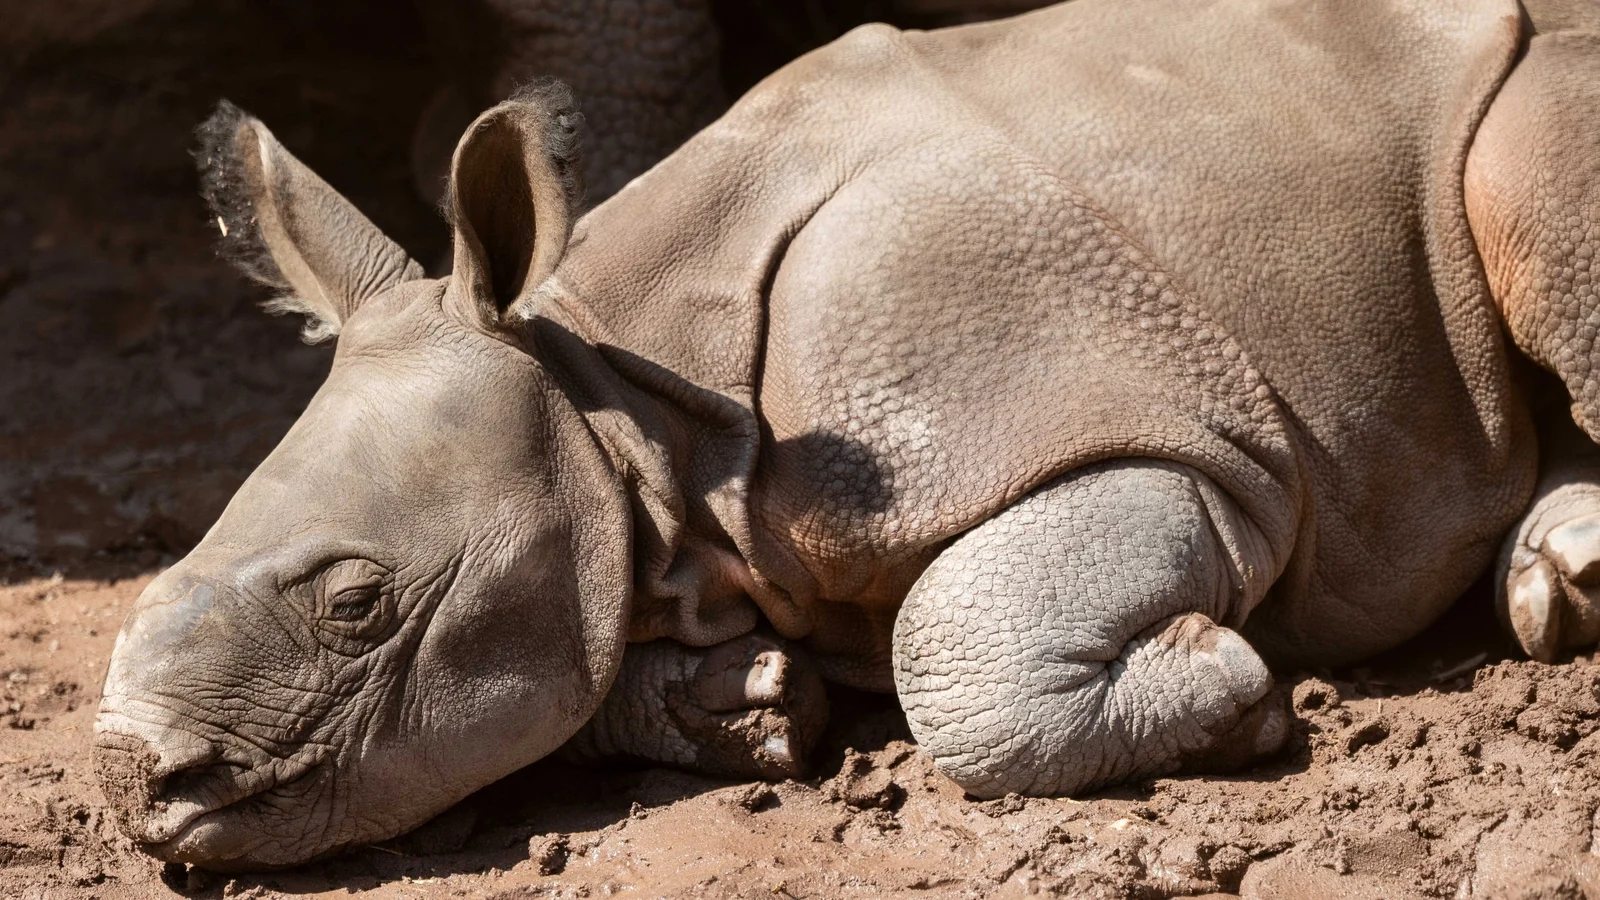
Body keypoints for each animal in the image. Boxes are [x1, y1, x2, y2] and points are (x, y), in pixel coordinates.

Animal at [95, 0, 1600, 870]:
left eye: (356, 605)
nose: (132, 786)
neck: (623, 397)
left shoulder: (1182, 442)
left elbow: (957, 638)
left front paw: (1229, 684)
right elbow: (587, 660)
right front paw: (748, 704)